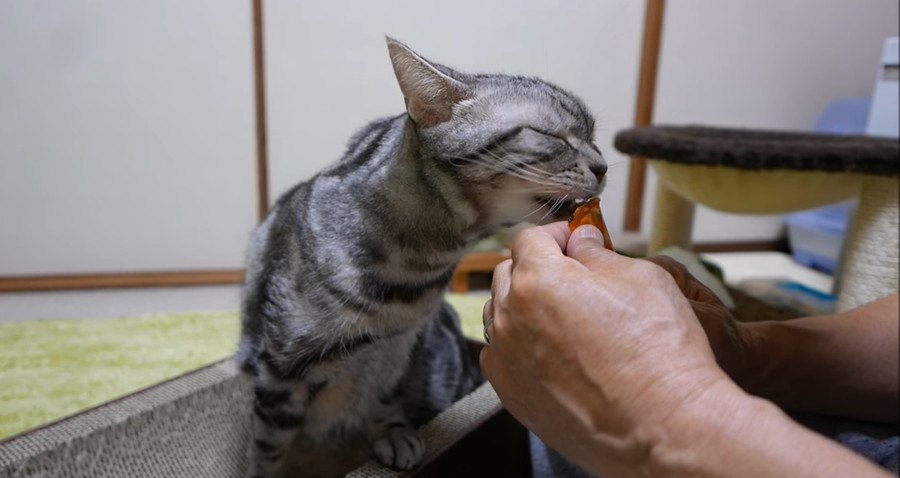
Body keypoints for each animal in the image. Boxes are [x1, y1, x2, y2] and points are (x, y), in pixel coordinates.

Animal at [236, 38, 608, 478]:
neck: (421, 268)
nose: (603, 167)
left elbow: (382, 396)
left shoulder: (397, 349)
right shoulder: (280, 369)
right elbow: (270, 444)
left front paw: (392, 431)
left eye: (593, 136)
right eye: (551, 136)